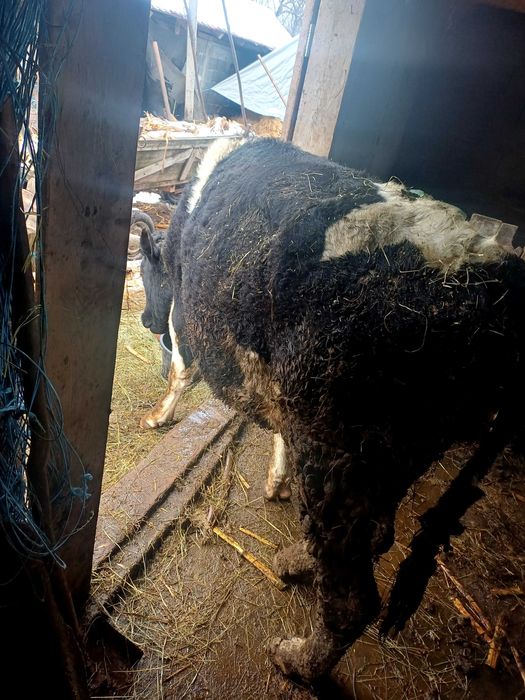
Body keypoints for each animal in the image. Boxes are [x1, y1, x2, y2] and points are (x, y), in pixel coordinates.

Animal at [139, 136, 525, 682]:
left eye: (144, 271)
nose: (144, 319)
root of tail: (495, 286)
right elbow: (276, 428)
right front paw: (277, 480)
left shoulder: (189, 321)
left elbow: (181, 372)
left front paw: (159, 416)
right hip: (390, 457)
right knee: (376, 535)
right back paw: (298, 559)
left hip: (338, 451)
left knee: (352, 599)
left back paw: (298, 660)